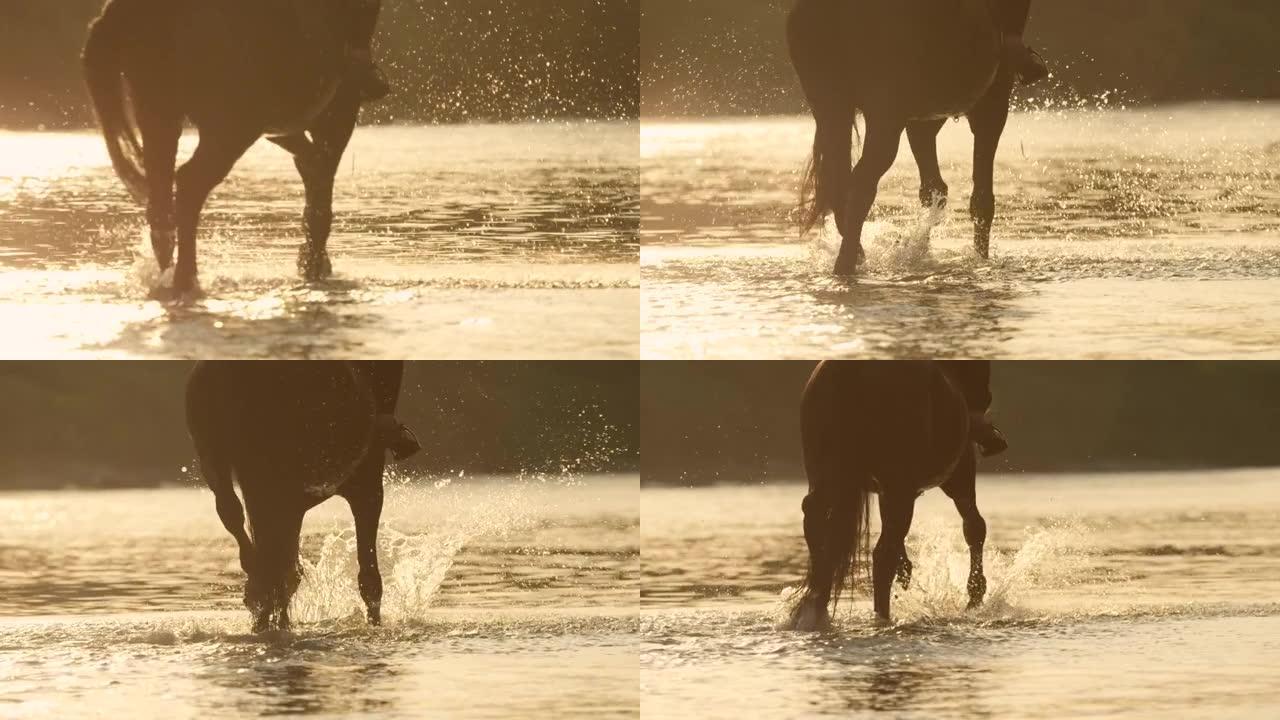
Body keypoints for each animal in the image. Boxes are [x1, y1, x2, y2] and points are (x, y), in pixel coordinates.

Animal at [83, 0, 366, 294]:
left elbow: (312, 169)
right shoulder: (338, 110)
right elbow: (321, 191)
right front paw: (313, 265)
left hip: (158, 115)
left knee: (161, 206)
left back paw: (169, 277)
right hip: (232, 127)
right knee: (189, 184)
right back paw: (186, 277)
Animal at [783, 0, 1013, 272]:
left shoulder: (922, 118)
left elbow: (934, 190)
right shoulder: (992, 104)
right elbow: (981, 200)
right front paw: (979, 259)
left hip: (830, 105)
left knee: (839, 181)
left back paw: (855, 257)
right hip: (883, 113)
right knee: (861, 183)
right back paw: (847, 261)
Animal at [788, 358, 988, 627]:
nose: (984, 399)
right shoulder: (959, 471)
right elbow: (974, 527)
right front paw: (975, 593)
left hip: (827, 479)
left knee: (818, 526)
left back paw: (815, 608)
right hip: (900, 488)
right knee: (882, 556)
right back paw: (881, 616)